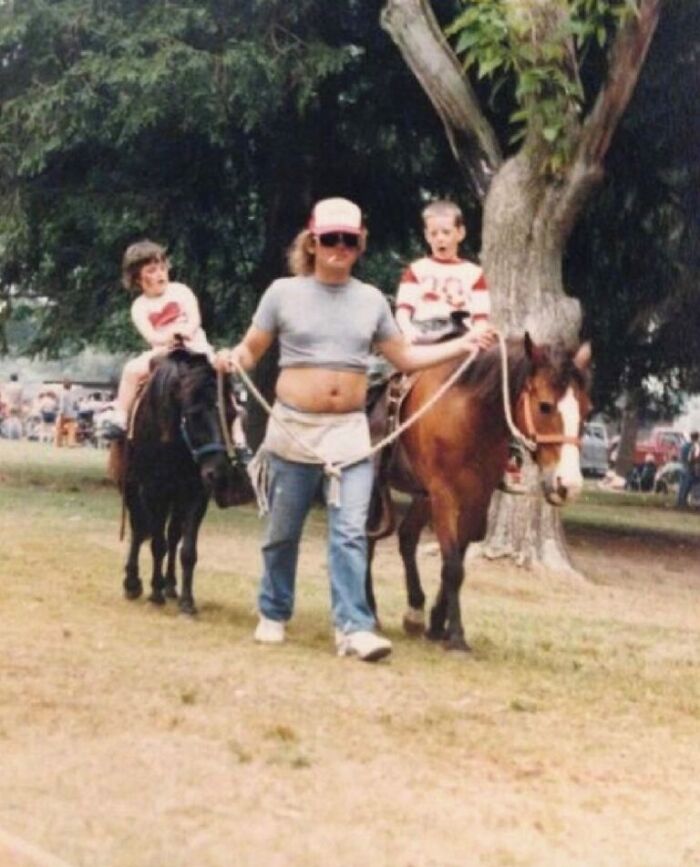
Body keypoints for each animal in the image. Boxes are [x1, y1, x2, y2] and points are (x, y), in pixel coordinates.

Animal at [114, 349, 253, 615]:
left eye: (231, 414)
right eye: (194, 414)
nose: (218, 473)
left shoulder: (195, 495)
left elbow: (187, 550)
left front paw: (187, 601)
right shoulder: (154, 492)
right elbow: (157, 543)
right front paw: (154, 592)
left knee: (173, 535)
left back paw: (170, 585)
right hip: (134, 488)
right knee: (139, 529)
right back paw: (133, 582)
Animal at [367, 334, 591, 651]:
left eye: (586, 409)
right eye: (545, 406)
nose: (568, 484)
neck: (471, 414)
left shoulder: (477, 497)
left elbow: (458, 560)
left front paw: (438, 625)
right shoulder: (444, 495)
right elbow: (452, 566)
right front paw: (456, 635)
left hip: (422, 496)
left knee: (406, 537)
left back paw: (414, 612)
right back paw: (372, 611)